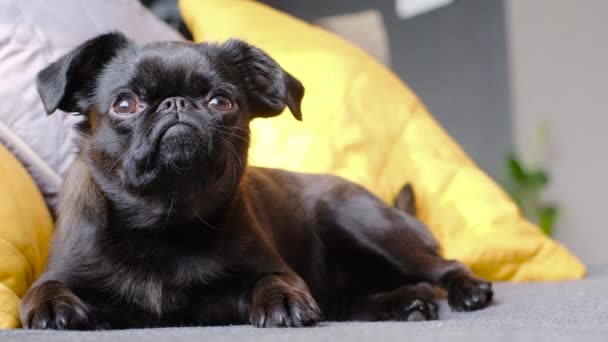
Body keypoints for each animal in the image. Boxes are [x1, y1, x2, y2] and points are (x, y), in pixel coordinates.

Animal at [20, 33, 494, 330]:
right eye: (124, 104)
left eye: (221, 101)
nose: (176, 104)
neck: (164, 221)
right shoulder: (65, 275)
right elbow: (39, 294)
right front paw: (54, 306)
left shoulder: (261, 276)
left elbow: (274, 281)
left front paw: (282, 299)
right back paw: (408, 303)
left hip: (362, 223)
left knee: (441, 266)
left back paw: (466, 291)